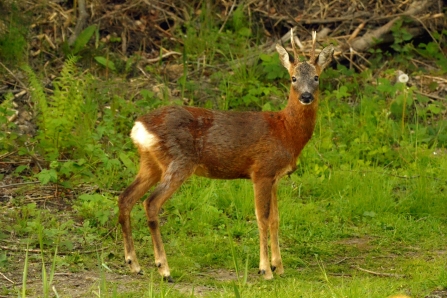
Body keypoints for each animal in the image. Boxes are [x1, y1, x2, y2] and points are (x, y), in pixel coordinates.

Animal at [117, 30, 334, 282]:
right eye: (293, 78)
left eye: (317, 77)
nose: (306, 96)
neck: (286, 130)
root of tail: (139, 127)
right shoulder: (262, 171)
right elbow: (262, 218)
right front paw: (265, 270)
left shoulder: (275, 177)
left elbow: (276, 220)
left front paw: (279, 267)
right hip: (178, 161)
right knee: (150, 203)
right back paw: (164, 269)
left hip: (150, 163)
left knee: (126, 197)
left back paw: (134, 264)